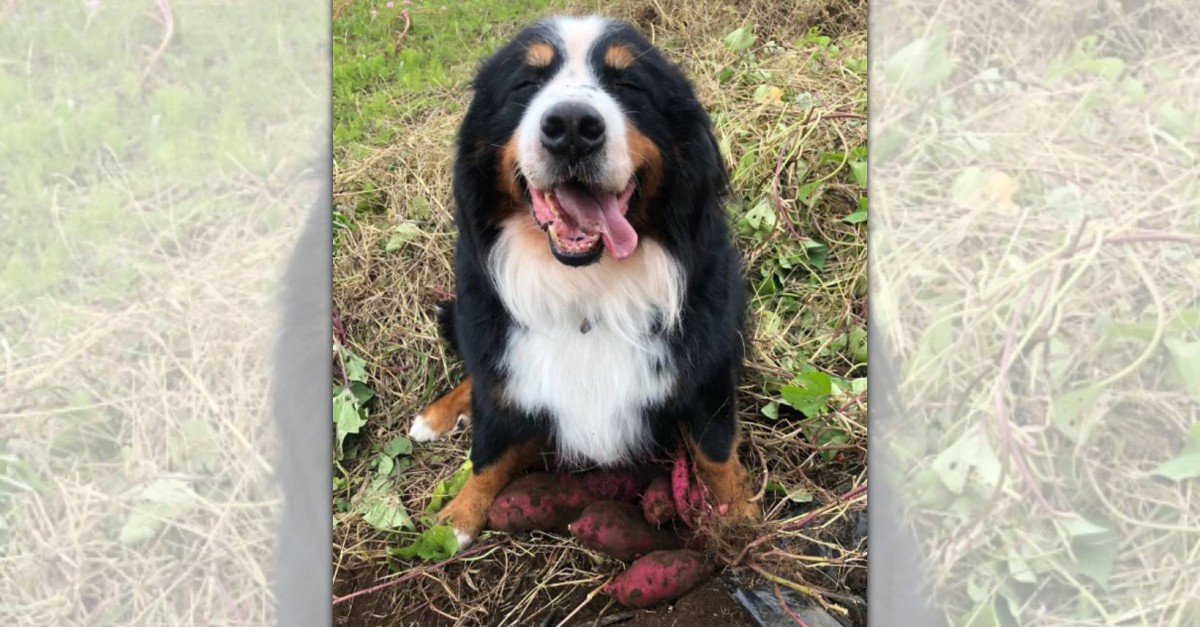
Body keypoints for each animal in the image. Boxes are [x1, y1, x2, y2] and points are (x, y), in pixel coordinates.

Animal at [408, 14, 753, 547]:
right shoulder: (506, 360)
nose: (571, 127)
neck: (587, 289)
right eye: (525, 84)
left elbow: (716, 451)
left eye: (629, 83)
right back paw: (437, 415)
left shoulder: (707, 368)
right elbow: (487, 450)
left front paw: (742, 521)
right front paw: (459, 517)